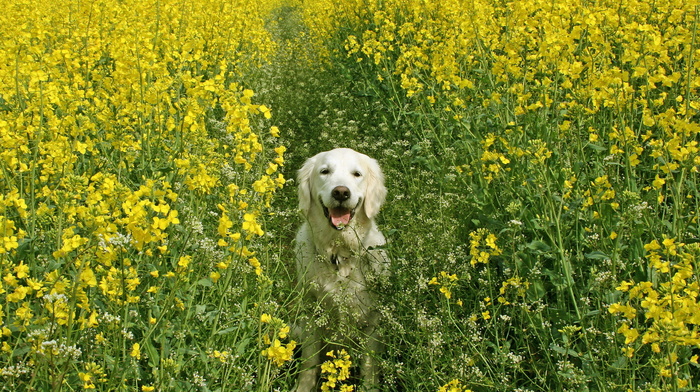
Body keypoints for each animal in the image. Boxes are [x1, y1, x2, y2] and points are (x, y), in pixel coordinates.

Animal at [294, 148, 388, 392]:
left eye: (357, 174)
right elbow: (309, 362)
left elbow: (369, 364)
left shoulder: (373, 320)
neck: (339, 257)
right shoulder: (311, 313)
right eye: (325, 171)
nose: (341, 192)